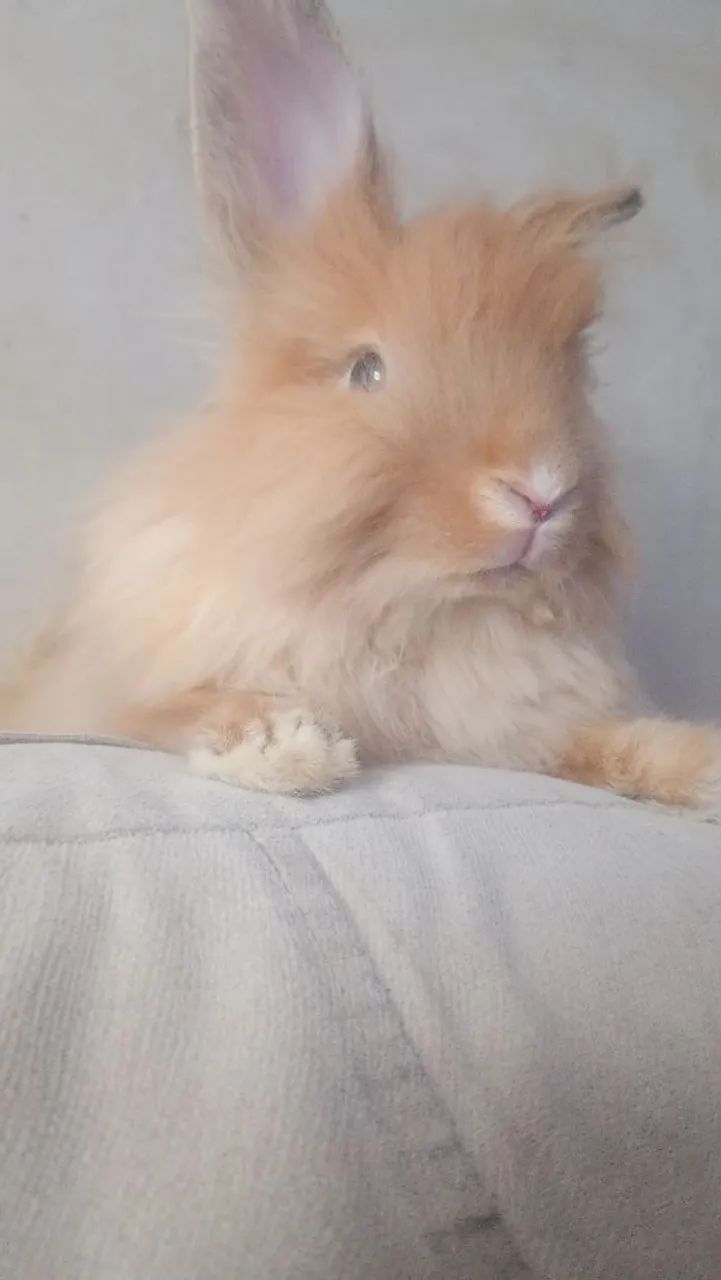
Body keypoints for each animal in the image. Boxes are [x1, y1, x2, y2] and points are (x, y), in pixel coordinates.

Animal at [3, 0, 721, 818]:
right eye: (366, 370)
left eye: (575, 373)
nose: (542, 494)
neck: (407, 618)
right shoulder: (104, 700)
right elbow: (173, 709)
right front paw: (284, 747)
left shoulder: (527, 729)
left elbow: (599, 745)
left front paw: (700, 764)